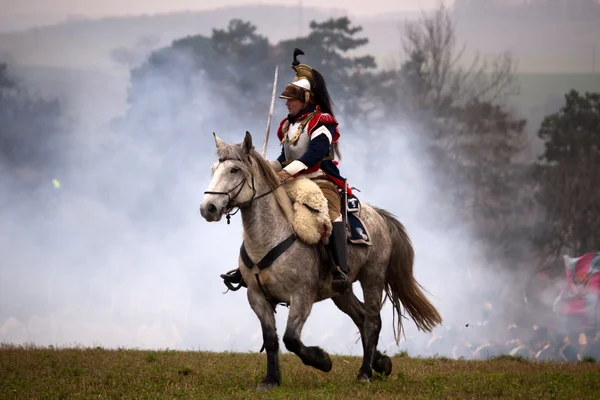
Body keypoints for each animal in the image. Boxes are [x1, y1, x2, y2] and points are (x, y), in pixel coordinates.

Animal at [199, 132, 442, 390]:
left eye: (234, 169)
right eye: (214, 169)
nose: (208, 208)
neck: (271, 236)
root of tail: (377, 215)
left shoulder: (302, 297)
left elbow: (291, 338)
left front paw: (322, 360)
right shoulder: (256, 297)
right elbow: (271, 339)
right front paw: (271, 379)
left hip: (372, 278)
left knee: (372, 321)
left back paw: (365, 372)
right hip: (340, 291)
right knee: (361, 317)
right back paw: (380, 362)